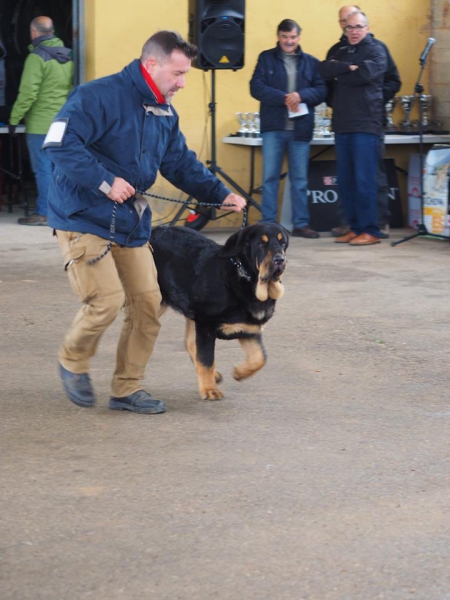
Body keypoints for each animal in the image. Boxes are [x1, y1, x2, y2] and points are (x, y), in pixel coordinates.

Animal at [150, 223, 288, 400]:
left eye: (283, 243)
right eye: (261, 244)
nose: (280, 260)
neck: (247, 281)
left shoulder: (249, 328)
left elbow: (260, 358)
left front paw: (239, 372)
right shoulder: (206, 325)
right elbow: (206, 359)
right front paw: (209, 389)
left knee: (189, 343)